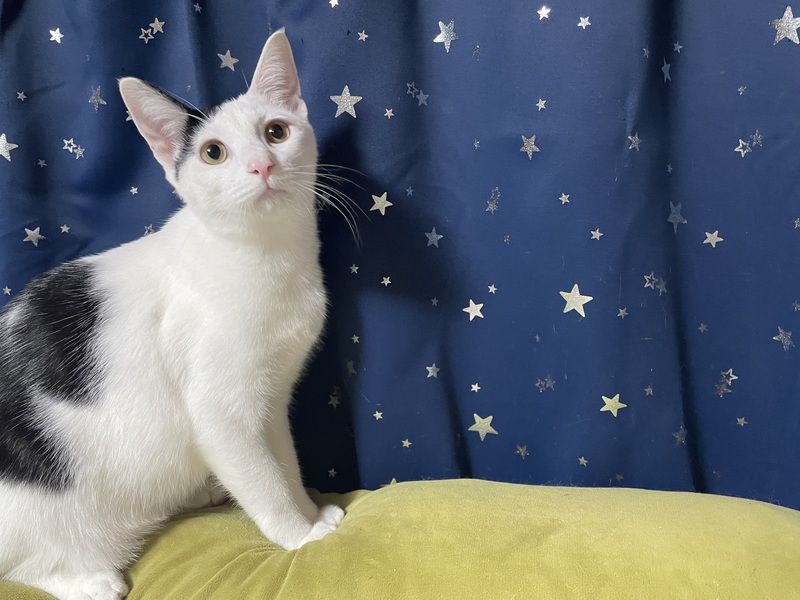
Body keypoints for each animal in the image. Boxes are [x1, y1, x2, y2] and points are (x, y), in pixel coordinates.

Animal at [0, 29, 344, 600]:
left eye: (275, 132)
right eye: (213, 153)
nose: (262, 165)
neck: (264, 256)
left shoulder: (271, 399)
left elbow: (283, 462)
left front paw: (310, 510)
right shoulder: (220, 411)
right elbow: (261, 478)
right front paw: (300, 536)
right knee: (25, 563)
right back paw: (88, 580)